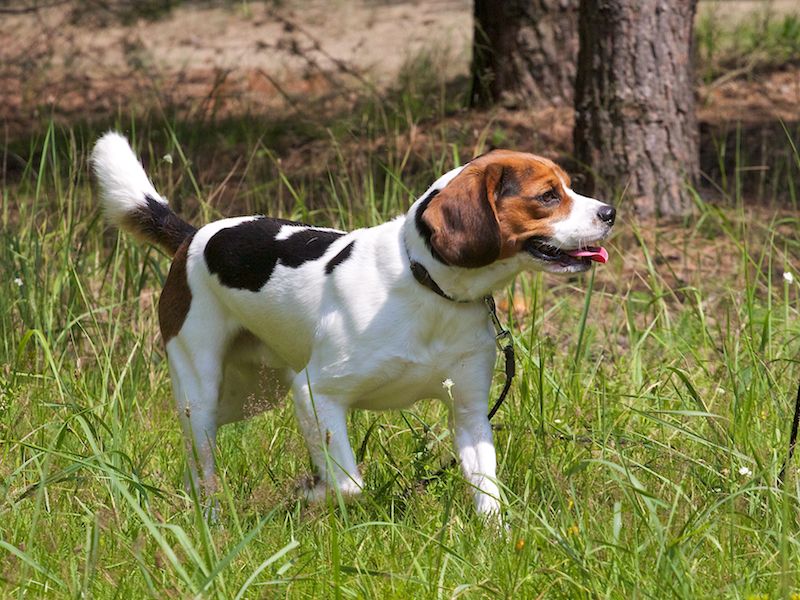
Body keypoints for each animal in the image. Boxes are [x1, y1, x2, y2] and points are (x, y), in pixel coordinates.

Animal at [90, 132, 614, 516]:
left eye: (569, 186)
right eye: (548, 196)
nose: (610, 211)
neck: (429, 289)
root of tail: (193, 234)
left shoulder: (469, 413)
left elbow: (488, 496)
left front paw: (496, 543)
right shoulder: (315, 393)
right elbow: (348, 484)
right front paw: (312, 492)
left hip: (250, 392)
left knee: (197, 455)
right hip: (202, 386)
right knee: (202, 451)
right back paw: (212, 518)